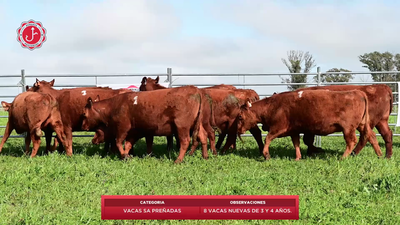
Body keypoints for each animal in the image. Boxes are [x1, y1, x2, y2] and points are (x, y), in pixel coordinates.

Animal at [80, 85, 208, 163]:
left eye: (84, 114)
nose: (83, 126)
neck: (114, 106)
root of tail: (195, 89)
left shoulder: (123, 127)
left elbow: (118, 142)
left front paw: (124, 156)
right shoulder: (135, 132)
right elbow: (128, 144)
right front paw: (127, 156)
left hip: (182, 126)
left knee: (185, 141)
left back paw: (178, 160)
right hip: (197, 124)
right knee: (202, 136)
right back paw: (204, 156)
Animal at [236, 89, 382, 160]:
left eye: (240, 116)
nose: (238, 130)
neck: (273, 106)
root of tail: (357, 92)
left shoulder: (278, 128)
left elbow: (267, 138)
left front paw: (266, 155)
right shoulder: (293, 130)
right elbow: (296, 143)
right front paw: (298, 157)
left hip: (348, 128)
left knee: (352, 141)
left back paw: (343, 157)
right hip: (362, 125)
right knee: (371, 136)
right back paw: (380, 155)